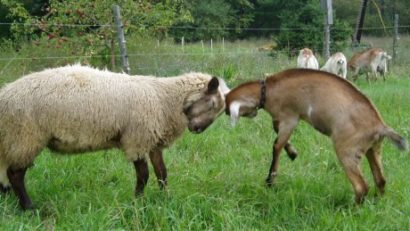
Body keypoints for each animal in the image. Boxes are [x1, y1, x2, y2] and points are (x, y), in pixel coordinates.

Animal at [0, 63, 231, 209]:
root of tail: (5, 94)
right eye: (212, 104)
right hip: (25, 136)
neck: (164, 98)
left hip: (13, 138)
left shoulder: (152, 141)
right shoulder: (137, 139)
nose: (197, 129)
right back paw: (29, 207)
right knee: (15, 174)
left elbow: (162, 173)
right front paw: (137, 203)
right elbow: (143, 175)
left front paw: (166, 199)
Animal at [226, 68, 408, 204]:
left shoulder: (290, 118)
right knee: (380, 180)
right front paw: (292, 152)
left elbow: (276, 145)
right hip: (373, 149)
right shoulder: (282, 119)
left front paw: (271, 181)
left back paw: (351, 210)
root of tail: (379, 126)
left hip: (347, 151)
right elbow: (277, 132)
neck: (268, 89)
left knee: (361, 187)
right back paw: (375, 203)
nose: (227, 112)